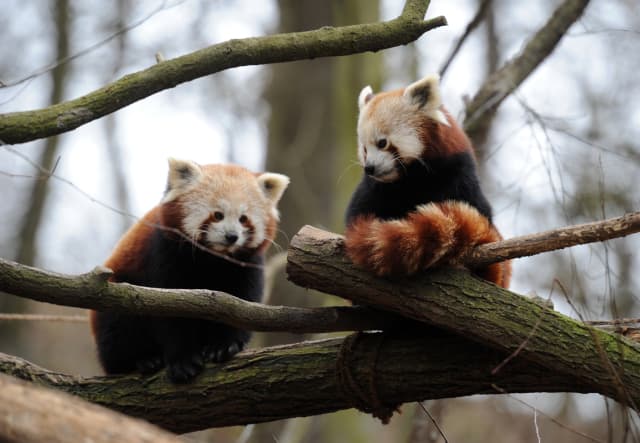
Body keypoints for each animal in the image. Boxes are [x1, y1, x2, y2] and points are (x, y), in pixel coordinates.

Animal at [90, 159, 290, 382]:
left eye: (243, 218)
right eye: (218, 215)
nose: (232, 236)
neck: (213, 258)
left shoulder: (245, 266)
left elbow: (242, 304)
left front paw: (223, 345)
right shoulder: (165, 253)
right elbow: (171, 312)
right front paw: (182, 360)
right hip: (117, 289)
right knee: (118, 327)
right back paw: (143, 359)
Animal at [342, 73, 512, 288]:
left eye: (382, 143)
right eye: (364, 149)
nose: (369, 167)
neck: (413, 179)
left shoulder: (459, 176)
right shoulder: (374, 189)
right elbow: (357, 216)